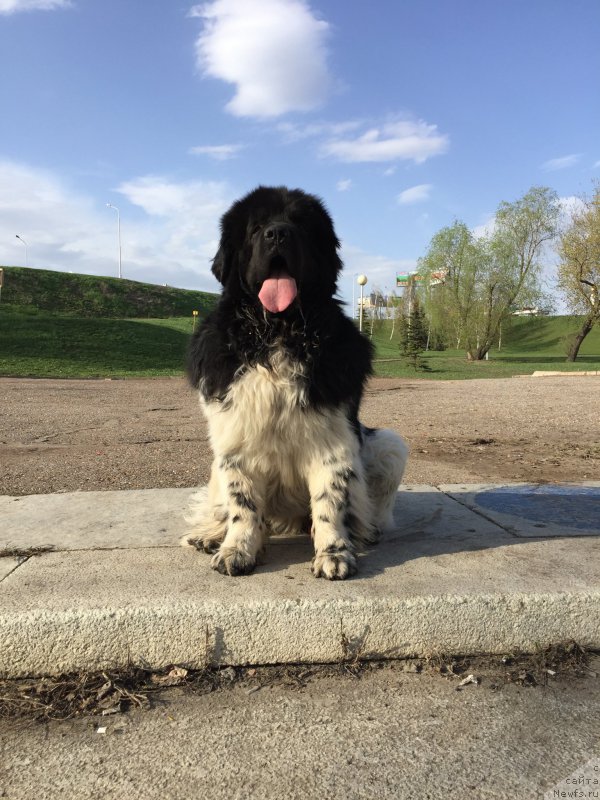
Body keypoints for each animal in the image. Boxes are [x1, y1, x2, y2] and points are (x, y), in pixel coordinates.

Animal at [183, 184, 408, 580]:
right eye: (257, 228)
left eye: (301, 225)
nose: (278, 233)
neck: (278, 333)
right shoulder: (235, 440)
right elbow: (242, 504)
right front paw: (237, 549)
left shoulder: (333, 440)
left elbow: (330, 501)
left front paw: (334, 553)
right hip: (216, 462)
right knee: (221, 505)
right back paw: (210, 534)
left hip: (390, 445)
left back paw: (365, 532)